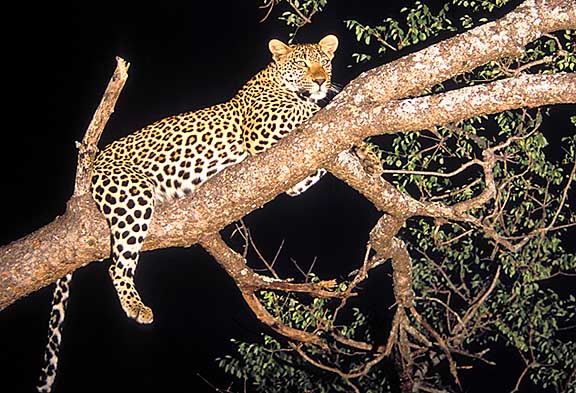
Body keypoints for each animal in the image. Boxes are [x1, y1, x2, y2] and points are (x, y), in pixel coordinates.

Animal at [37, 34, 338, 392]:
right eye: (303, 64)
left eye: (325, 62)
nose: (320, 80)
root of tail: (95, 161)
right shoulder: (265, 129)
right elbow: (311, 109)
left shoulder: (295, 180)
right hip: (132, 197)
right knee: (117, 265)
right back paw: (137, 307)